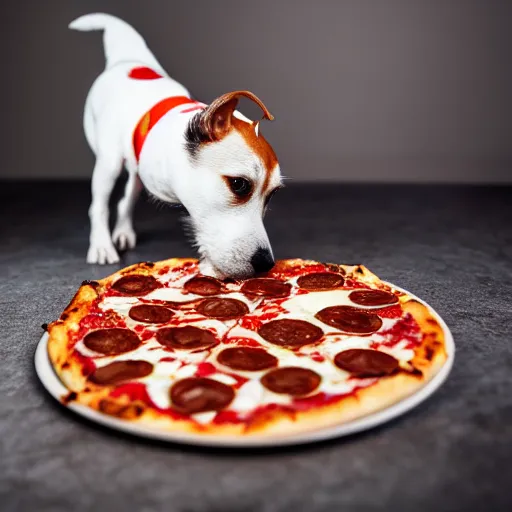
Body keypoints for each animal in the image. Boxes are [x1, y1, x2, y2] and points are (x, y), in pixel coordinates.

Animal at [68, 13, 282, 280]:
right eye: (239, 184)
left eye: (272, 194)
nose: (266, 264)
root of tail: (128, 60)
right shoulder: (108, 164)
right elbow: (98, 207)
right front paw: (101, 245)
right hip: (110, 162)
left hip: (137, 171)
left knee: (127, 196)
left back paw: (124, 230)